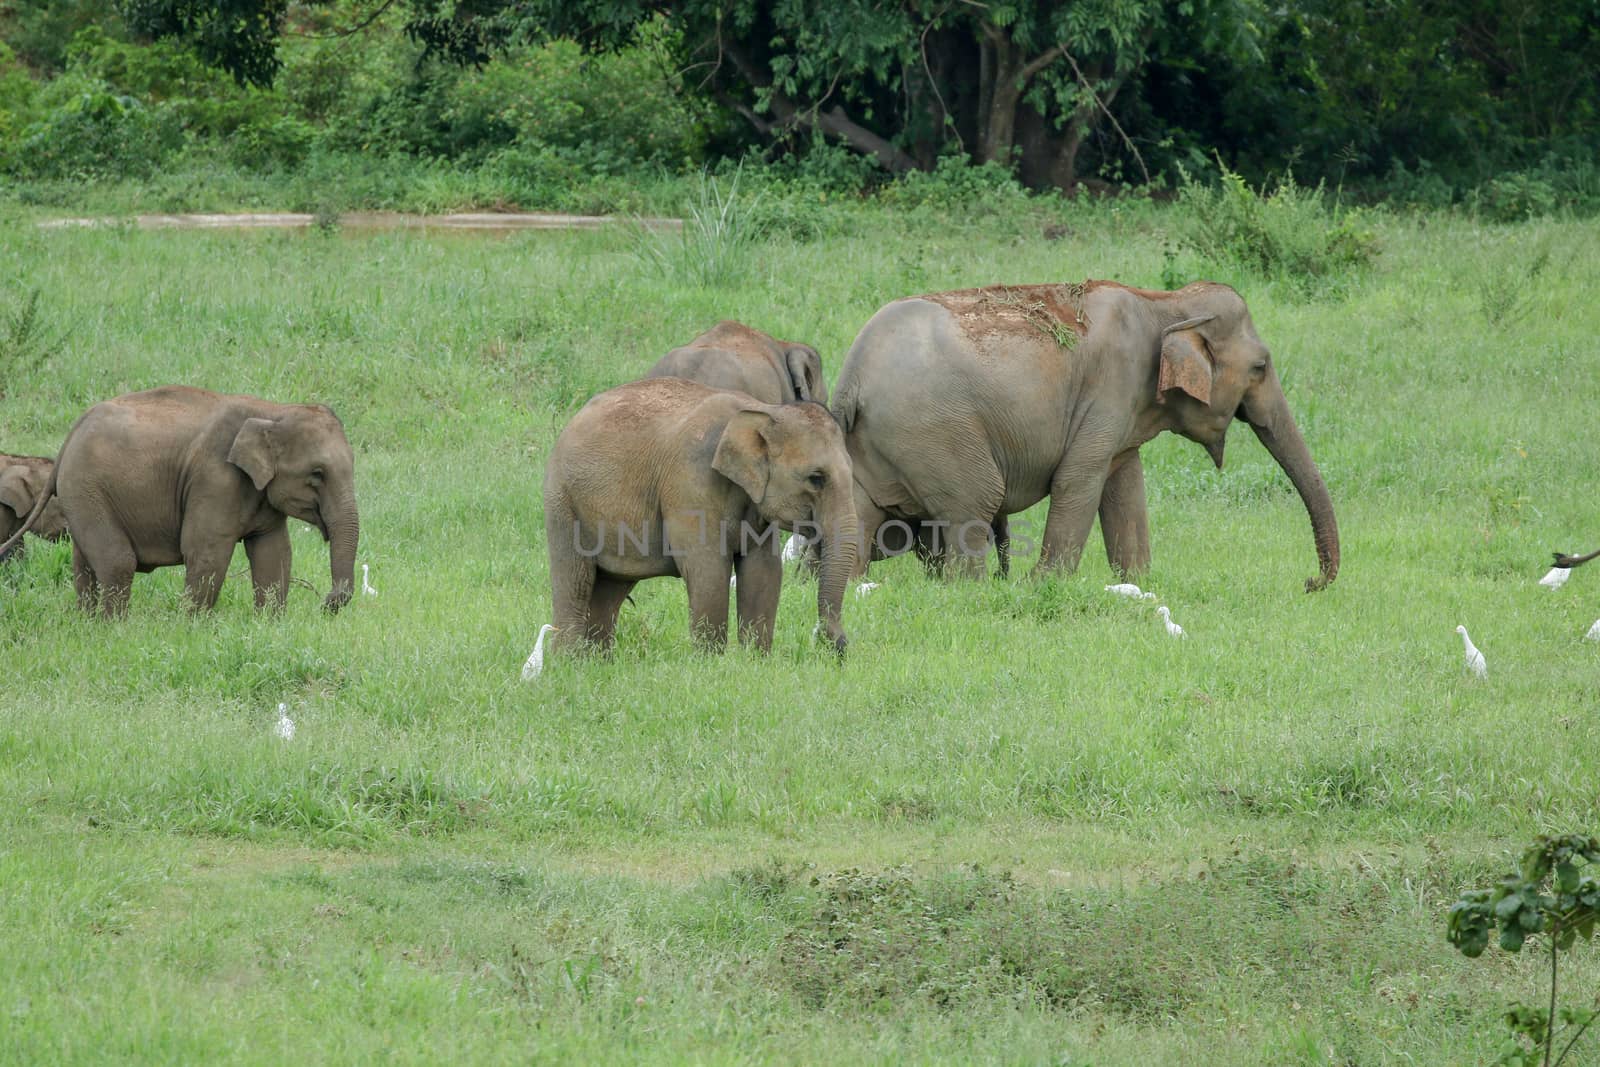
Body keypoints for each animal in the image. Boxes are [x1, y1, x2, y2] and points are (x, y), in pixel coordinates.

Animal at [0, 385, 363, 617]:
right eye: (317, 474)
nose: (326, 603)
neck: (273, 411)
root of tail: (69, 439)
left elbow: (274, 553)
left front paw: (269, 625)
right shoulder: (215, 479)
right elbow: (206, 550)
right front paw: (193, 628)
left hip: (83, 494)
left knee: (84, 562)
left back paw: (86, 622)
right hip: (86, 487)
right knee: (117, 561)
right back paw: (113, 628)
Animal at [540, 375, 864, 659]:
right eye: (816, 478)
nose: (836, 644)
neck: (762, 410)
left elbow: (763, 571)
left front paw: (755, 663)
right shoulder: (690, 484)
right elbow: (708, 570)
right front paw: (711, 666)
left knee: (610, 589)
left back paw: (596, 663)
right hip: (563, 503)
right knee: (576, 581)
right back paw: (567, 663)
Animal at [832, 279, 1344, 591]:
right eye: (1260, 367)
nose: (1309, 582)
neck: (1164, 302)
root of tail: (851, 375)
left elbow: (1124, 485)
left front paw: (1136, 582)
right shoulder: (1109, 388)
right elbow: (1079, 480)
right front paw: (1043, 585)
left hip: (877, 443)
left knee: (860, 515)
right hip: (937, 432)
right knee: (974, 502)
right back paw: (970, 592)